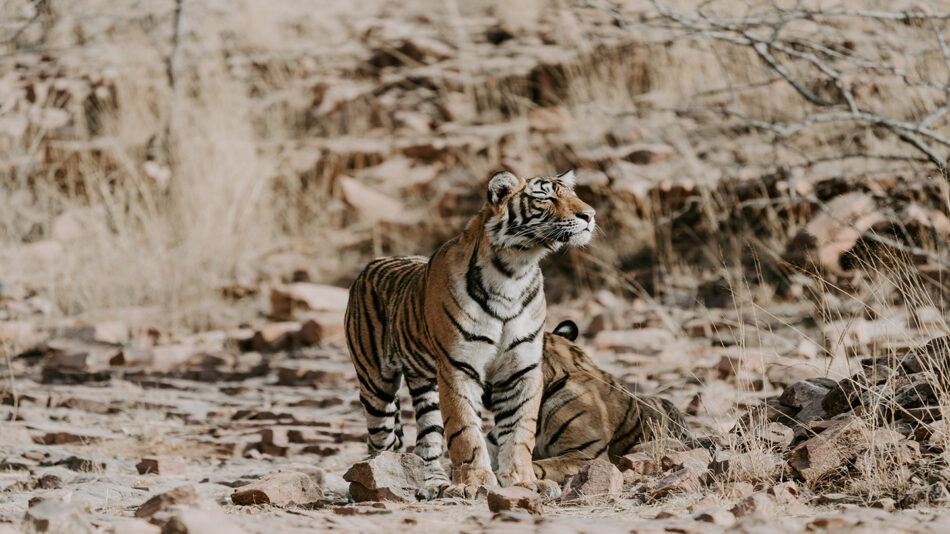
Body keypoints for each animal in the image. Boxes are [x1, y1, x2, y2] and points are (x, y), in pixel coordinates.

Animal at [342, 170, 596, 500]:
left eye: (572, 195)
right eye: (545, 197)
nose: (590, 215)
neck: (515, 272)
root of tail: (372, 264)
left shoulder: (522, 368)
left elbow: (519, 431)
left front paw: (522, 481)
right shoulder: (458, 366)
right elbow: (465, 430)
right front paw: (475, 484)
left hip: (426, 386)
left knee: (428, 439)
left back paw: (434, 484)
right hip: (376, 386)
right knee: (381, 441)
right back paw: (378, 483)